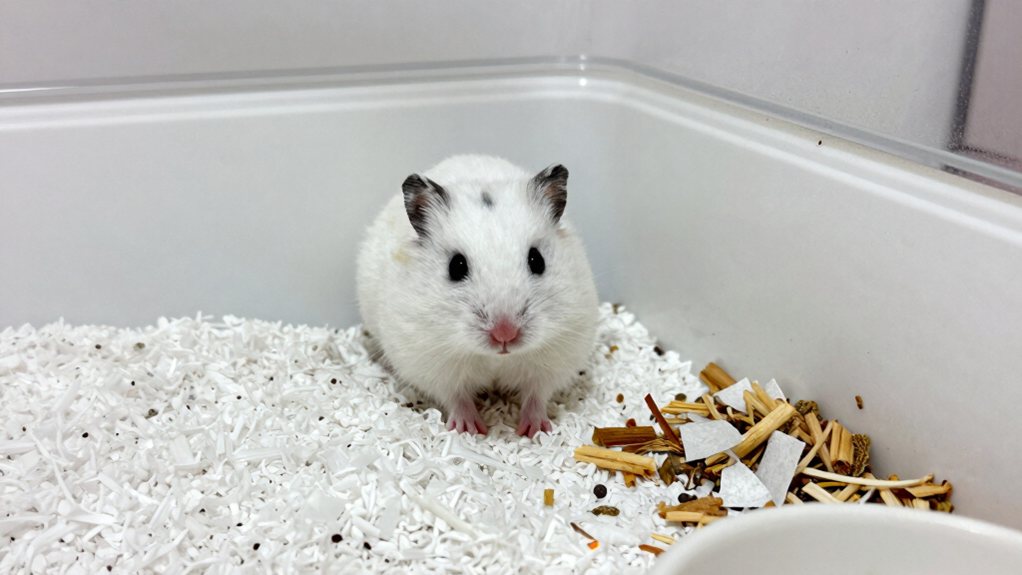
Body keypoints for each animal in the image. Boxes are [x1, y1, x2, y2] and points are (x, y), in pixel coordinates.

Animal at [356, 155, 598, 437]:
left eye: (537, 260)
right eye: (456, 266)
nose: (505, 335)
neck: (495, 358)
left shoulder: (556, 357)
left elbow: (537, 395)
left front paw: (535, 430)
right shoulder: (431, 363)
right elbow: (456, 397)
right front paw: (471, 430)